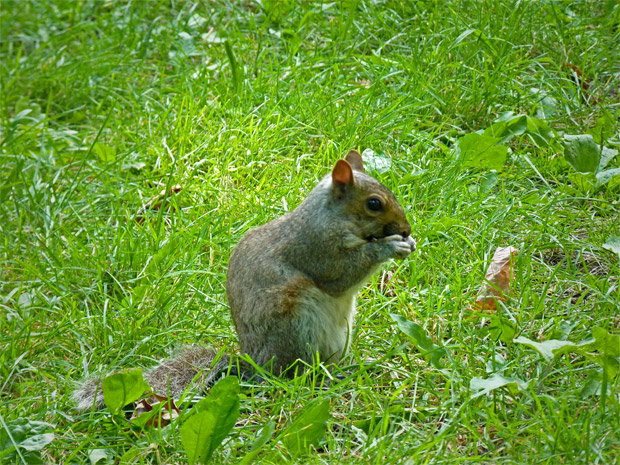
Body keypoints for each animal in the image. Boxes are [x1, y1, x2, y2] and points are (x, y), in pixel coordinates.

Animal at [72, 150, 414, 410]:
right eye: (374, 203)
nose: (407, 229)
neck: (331, 216)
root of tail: (256, 364)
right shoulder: (316, 248)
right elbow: (342, 274)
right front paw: (390, 247)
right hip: (298, 328)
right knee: (295, 374)